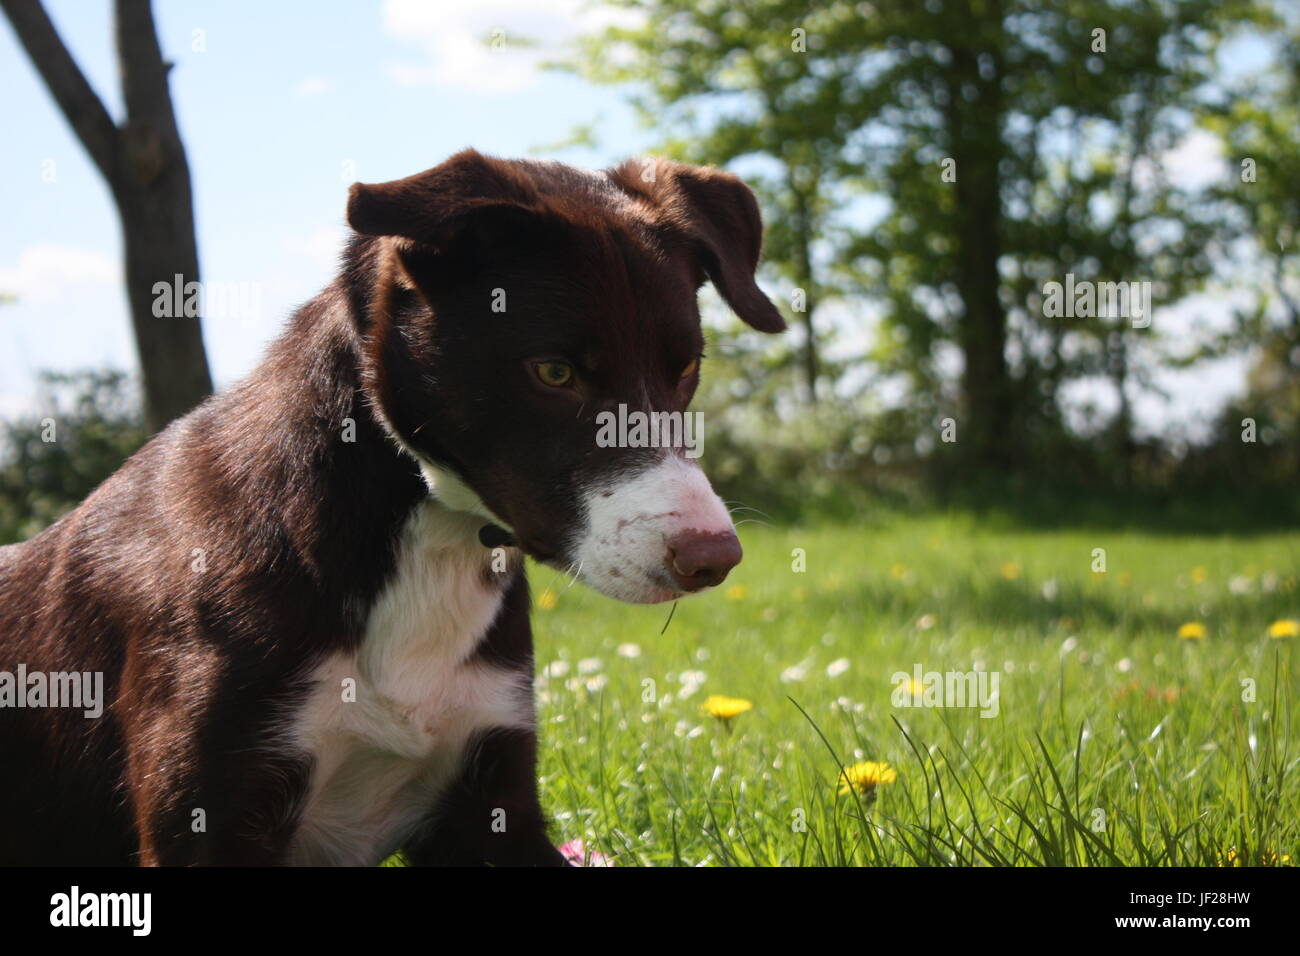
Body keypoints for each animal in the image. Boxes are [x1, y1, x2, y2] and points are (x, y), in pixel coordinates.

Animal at [0, 151, 780, 868]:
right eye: (554, 371)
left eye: (685, 367)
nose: (715, 558)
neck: (423, 538)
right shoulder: (208, 814)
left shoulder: (492, 798)